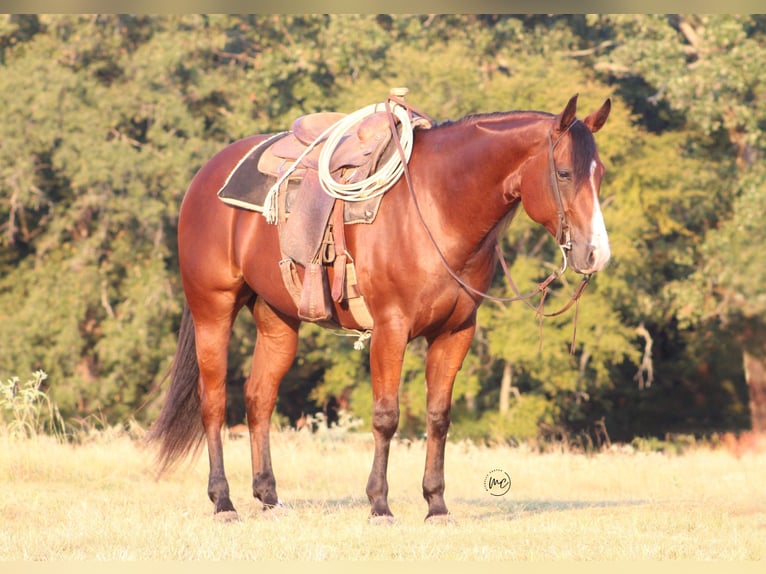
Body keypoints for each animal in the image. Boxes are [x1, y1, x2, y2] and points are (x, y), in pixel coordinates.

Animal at [148, 94, 612, 522]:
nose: (596, 254)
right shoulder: (391, 328)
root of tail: (206, 177)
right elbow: (386, 416)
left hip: (277, 319)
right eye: (564, 173)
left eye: (600, 174)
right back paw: (223, 502)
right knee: (214, 402)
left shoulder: (456, 332)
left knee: (259, 398)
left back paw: (268, 498)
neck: (438, 205)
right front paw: (379, 505)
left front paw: (436, 505)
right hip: (213, 310)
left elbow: (438, 417)